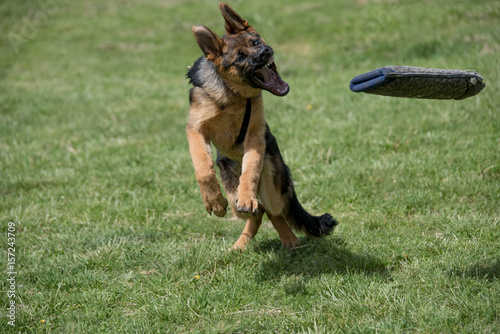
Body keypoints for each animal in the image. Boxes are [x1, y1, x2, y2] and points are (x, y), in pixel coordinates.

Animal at [186, 1, 338, 248]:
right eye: (239, 57)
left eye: (255, 42)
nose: (264, 53)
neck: (233, 96)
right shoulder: (196, 129)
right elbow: (202, 166)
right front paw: (213, 200)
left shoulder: (255, 136)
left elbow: (251, 168)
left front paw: (247, 195)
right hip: (233, 195)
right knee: (256, 214)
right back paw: (241, 245)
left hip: (273, 187)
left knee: (270, 211)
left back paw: (289, 240)